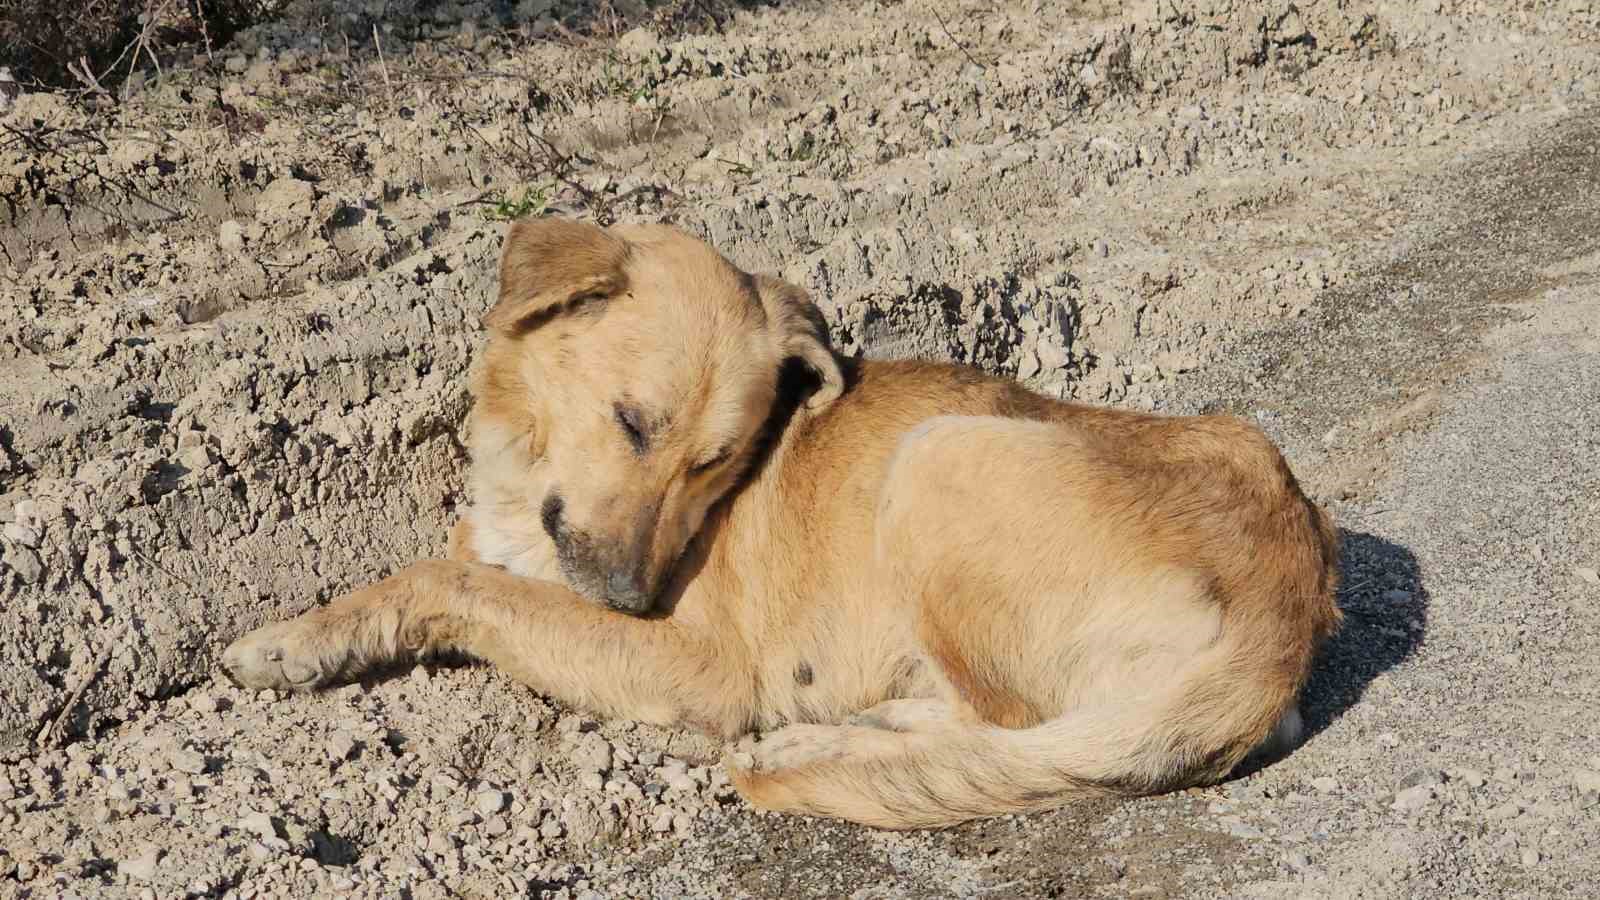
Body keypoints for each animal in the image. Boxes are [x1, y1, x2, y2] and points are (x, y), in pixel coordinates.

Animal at [225, 217, 1344, 826]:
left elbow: (446, 580)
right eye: (633, 423)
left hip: (938, 457)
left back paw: (815, 748)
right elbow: (451, 571)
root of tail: (1289, 596)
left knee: (1014, 726)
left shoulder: (695, 664)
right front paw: (314, 630)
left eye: (718, 460)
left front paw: (292, 642)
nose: (631, 598)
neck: (525, 473)